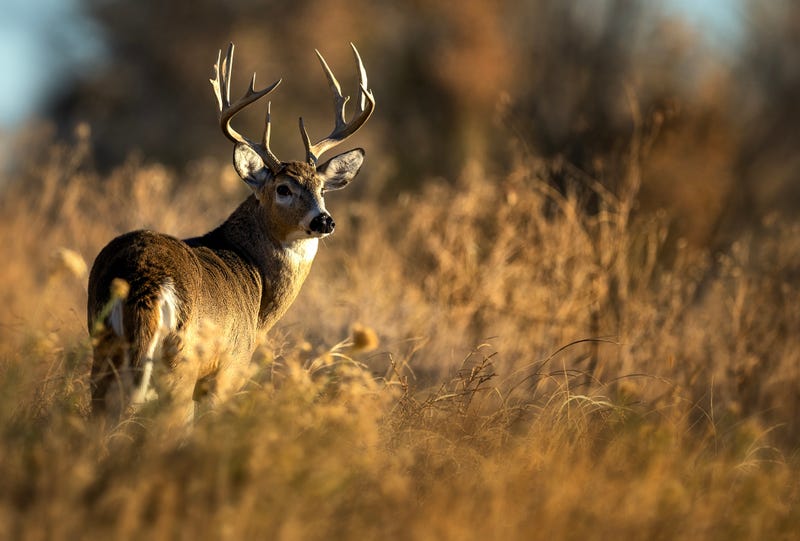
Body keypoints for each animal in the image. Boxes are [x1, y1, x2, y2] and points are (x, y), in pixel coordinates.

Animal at [87, 43, 375, 426]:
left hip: (102, 348)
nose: (324, 221)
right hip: (180, 364)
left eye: (322, 189)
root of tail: (146, 279)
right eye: (283, 188)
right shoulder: (229, 367)